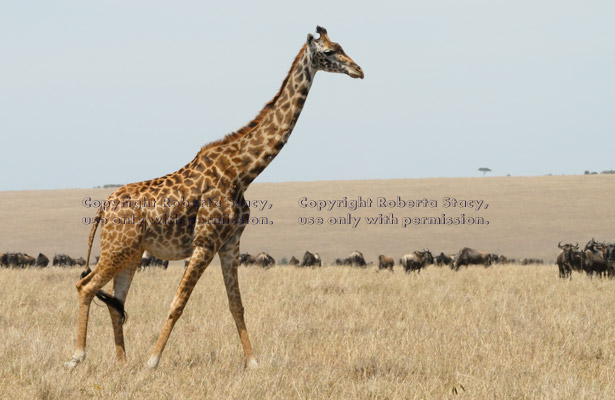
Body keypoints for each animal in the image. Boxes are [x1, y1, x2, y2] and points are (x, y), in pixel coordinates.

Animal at [65, 25, 364, 368]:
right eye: (329, 52)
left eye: (342, 46)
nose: (359, 70)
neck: (243, 171)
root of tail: (103, 208)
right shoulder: (205, 243)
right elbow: (178, 303)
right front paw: (153, 361)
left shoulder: (230, 243)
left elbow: (236, 305)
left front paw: (253, 362)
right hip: (117, 248)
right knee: (85, 286)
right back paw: (77, 356)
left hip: (131, 254)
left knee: (115, 300)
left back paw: (122, 362)